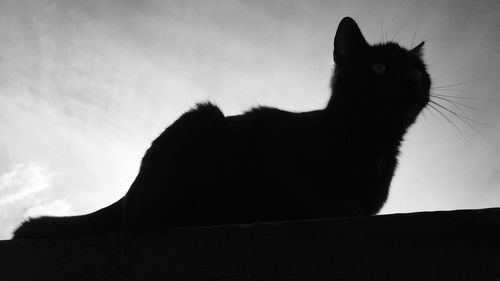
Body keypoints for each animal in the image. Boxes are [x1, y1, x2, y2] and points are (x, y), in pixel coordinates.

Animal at [13, 16, 432, 237]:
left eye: (417, 72)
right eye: (379, 67)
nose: (410, 82)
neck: (375, 144)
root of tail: (126, 194)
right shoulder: (272, 139)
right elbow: (303, 185)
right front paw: (334, 206)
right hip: (202, 118)